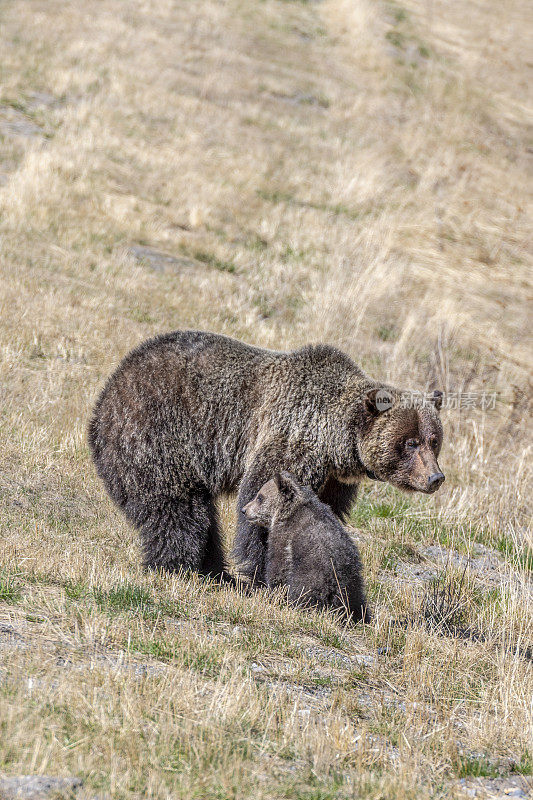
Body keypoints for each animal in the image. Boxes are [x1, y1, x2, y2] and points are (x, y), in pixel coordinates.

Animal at [88, 328, 444, 584]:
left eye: (434, 440)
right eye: (410, 442)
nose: (435, 477)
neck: (336, 444)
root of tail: (105, 396)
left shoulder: (334, 481)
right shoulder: (292, 438)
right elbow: (265, 502)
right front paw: (262, 574)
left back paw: (213, 569)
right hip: (158, 436)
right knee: (175, 508)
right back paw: (179, 567)